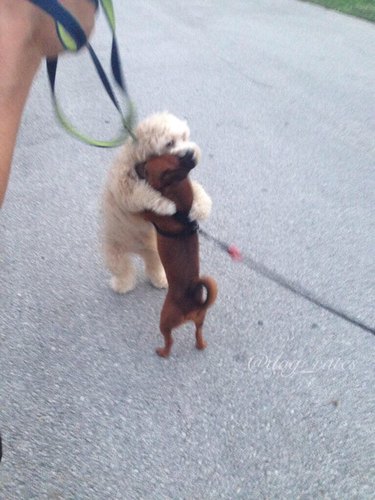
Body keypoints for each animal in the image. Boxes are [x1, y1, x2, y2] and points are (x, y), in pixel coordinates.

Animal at [102, 112, 217, 358]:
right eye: (169, 143)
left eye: (185, 137)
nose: (191, 153)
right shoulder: (125, 187)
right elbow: (141, 193)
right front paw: (164, 205)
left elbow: (198, 193)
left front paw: (200, 208)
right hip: (115, 251)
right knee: (124, 271)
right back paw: (122, 285)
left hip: (153, 254)